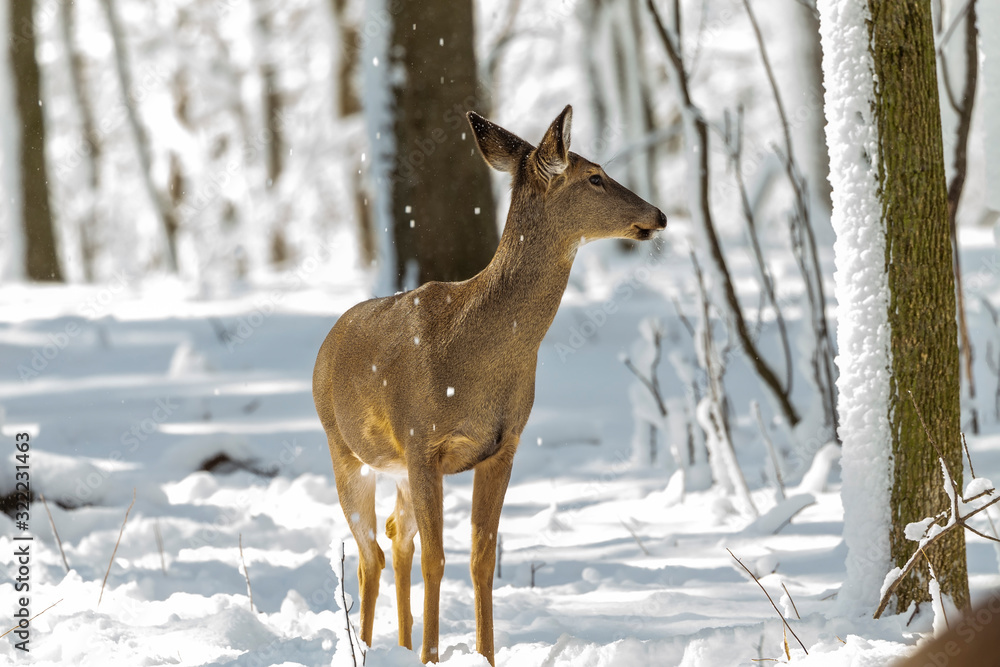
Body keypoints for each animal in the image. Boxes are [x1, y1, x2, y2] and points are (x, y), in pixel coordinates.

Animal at [312, 105, 666, 665]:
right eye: (595, 175)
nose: (659, 215)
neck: (477, 356)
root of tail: (328, 342)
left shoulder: (504, 443)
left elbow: (481, 557)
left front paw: (485, 655)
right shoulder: (422, 440)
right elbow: (438, 558)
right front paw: (434, 657)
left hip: (396, 468)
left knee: (396, 537)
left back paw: (401, 644)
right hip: (344, 449)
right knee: (371, 553)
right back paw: (369, 647)